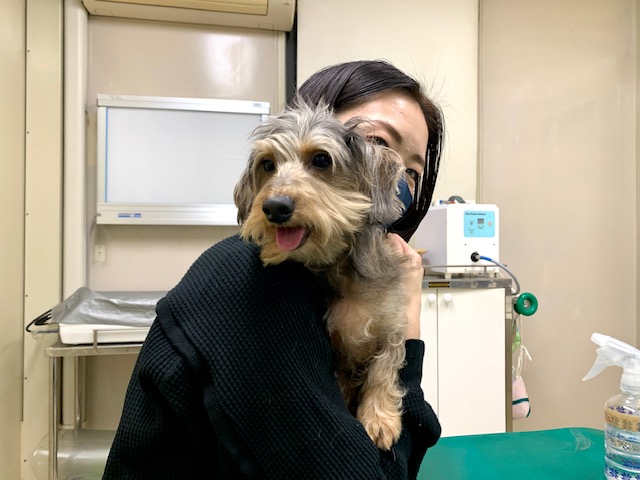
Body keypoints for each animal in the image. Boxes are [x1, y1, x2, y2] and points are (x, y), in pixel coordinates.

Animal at [234, 100, 410, 450]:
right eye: (267, 164)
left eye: (321, 159)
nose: (274, 207)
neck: (342, 268)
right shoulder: (335, 352)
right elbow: (340, 383)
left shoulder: (392, 329)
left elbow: (382, 372)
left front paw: (379, 419)